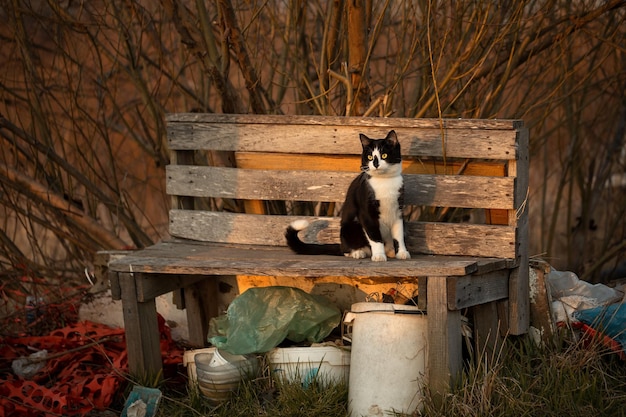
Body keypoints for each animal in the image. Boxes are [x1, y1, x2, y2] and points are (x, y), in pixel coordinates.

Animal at [284, 128, 410, 262]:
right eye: (370, 156)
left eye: (384, 155)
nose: (375, 164)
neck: (384, 182)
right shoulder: (366, 213)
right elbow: (374, 236)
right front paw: (379, 255)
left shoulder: (398, 211)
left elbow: (399, 235)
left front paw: (402, 252)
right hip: (349, 227)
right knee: (347, 249)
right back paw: (358, 252)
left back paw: (390, 251)